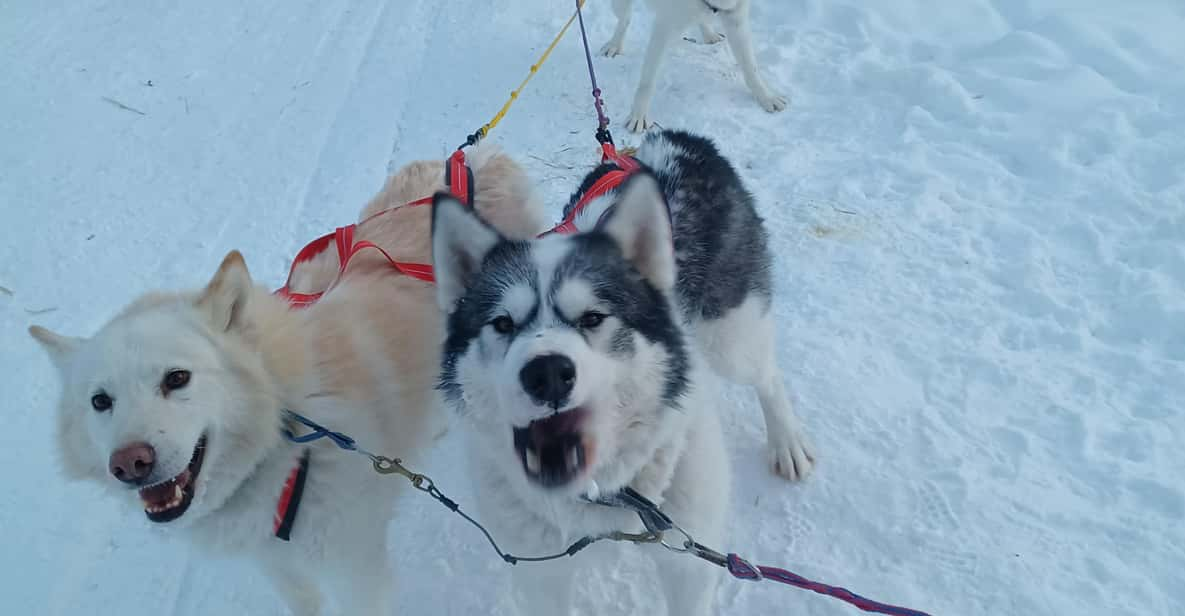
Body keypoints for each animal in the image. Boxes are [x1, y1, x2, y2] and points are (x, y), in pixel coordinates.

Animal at [27, 146, 542, 616]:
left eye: (177, 378)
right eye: (100, 401)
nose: (130, 463)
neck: (287, 429)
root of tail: (474, 155)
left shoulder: (356, 570)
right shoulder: (277, 563)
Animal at [433, 127, 815, 611]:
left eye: (593, 317)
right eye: (502, 323)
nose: (547, 373)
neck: (604, 498)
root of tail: (672, 142)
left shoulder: (690, 560)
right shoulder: (541, 572)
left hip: (731, 336)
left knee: (766, 374)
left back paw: (787, 442)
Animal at [601, 0, 786, 132]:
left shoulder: (736, 19)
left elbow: (750, 67)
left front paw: (766, 97)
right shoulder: (663, 27)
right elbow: (647, 81)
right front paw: (639, 115)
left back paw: (710, 34)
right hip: (620, 4)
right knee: (624, 19)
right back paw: (614, 45)